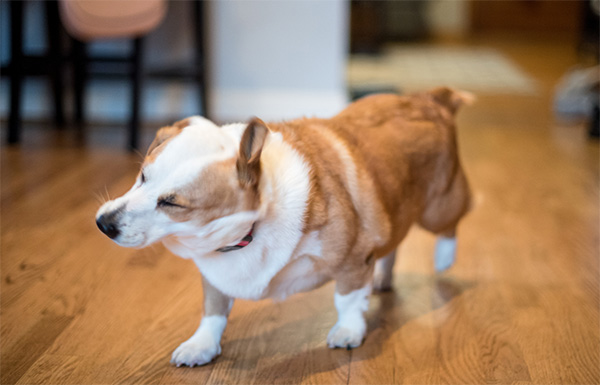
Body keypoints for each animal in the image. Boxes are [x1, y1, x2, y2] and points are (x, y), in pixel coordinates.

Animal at [96, 87, 472, 366]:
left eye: (172, 203)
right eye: (142, 176)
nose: (103, 224)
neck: (254, 225)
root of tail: (429, 99)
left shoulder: (352, 259)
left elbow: (347, 300)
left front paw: (348, 331)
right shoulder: (214, 276)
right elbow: (213, 311)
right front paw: (201, 345)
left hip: (439, 206)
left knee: (454, 220)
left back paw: (444, 257)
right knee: (393, 244)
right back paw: (382, 276)